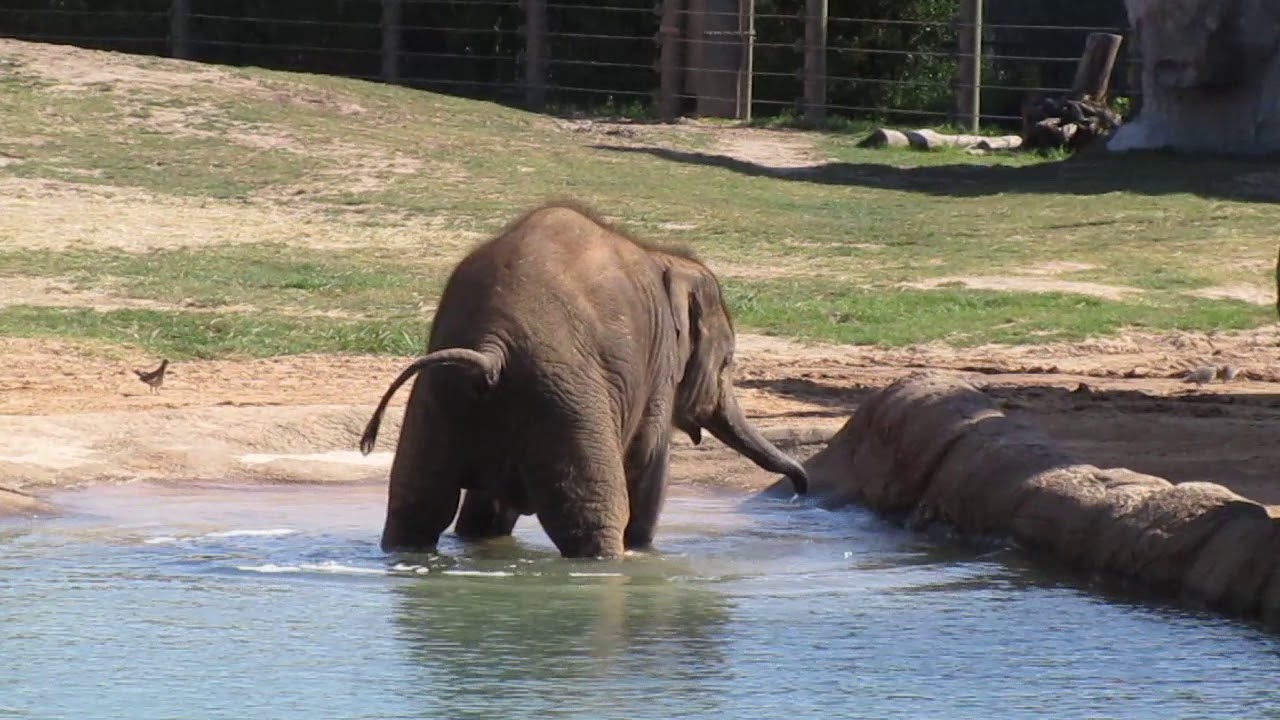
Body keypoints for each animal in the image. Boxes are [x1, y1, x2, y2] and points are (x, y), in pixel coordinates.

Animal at [358, 200, 809, 559]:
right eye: (728, 362)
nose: (800, 490)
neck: (665, 257)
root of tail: (492, 347)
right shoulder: (658, 367)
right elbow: (649, 461)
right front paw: (643, 550)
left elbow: (488, 509)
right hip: (566, 402)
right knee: (593, 515)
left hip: (440, 397)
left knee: (416, 507)